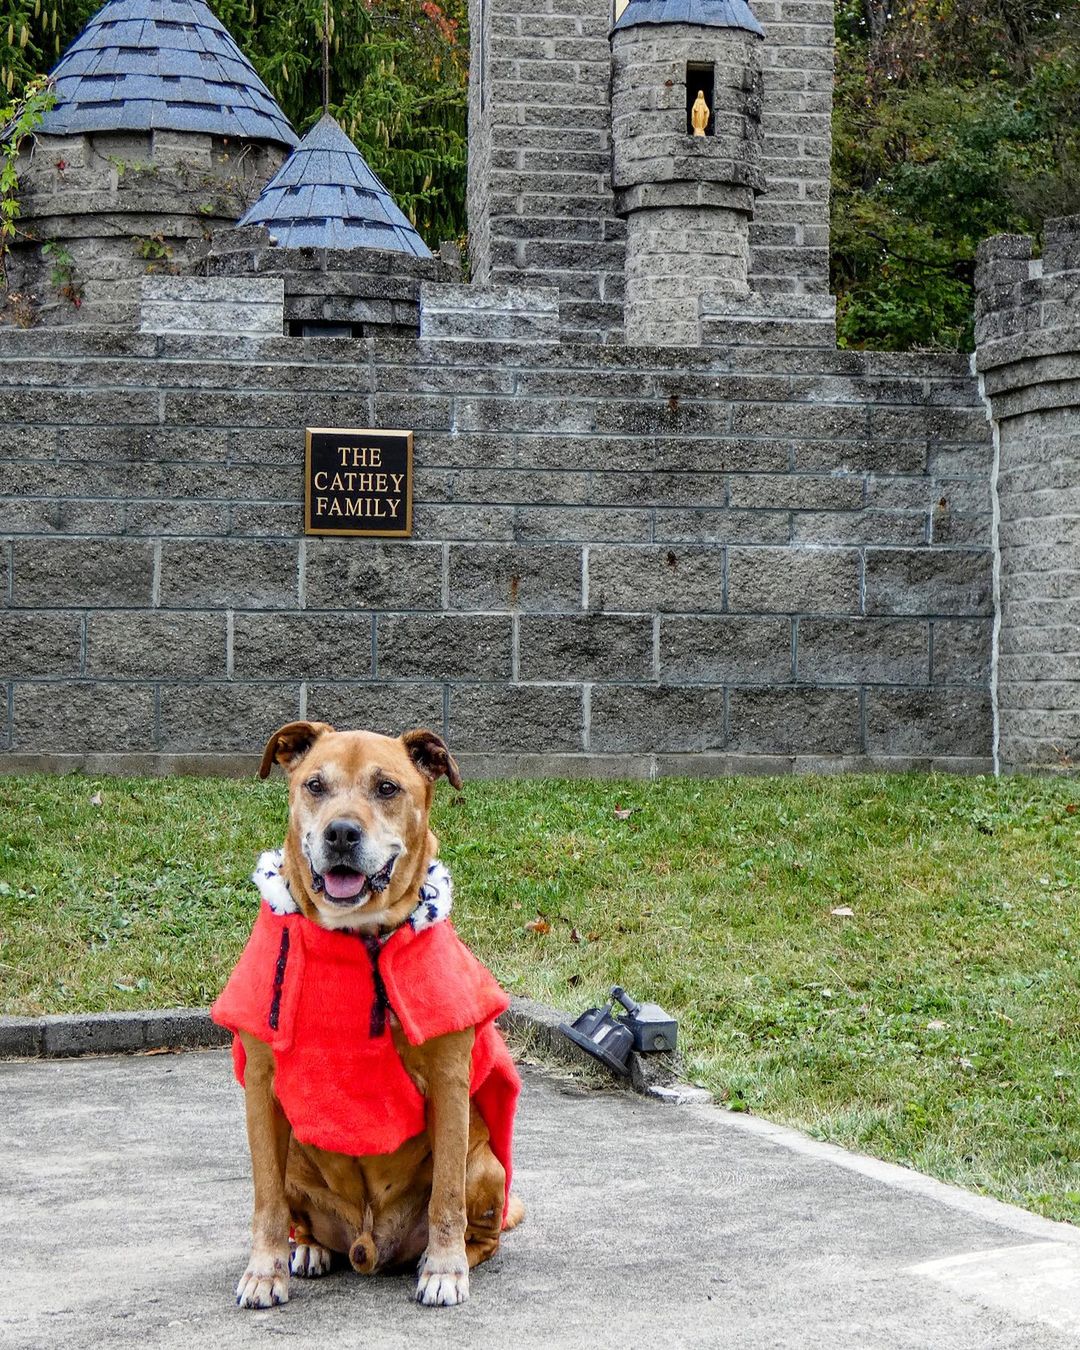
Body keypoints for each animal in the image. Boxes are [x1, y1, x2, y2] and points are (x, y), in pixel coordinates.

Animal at [210, 729, 523, 1306]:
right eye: (314, 785)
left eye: (387, 788)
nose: (341, 833)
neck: (356, 937)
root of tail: (367, 1245)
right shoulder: (261, 1086)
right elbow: (266, 1200)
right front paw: (265, 1271)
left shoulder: (449, 1079)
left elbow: (445, 1194)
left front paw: (444, 1269)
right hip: (297, 1159)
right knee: (300, 1215)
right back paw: (309, 1250)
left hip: (487, 1165)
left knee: (481, 1230)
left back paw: (439, 1258)